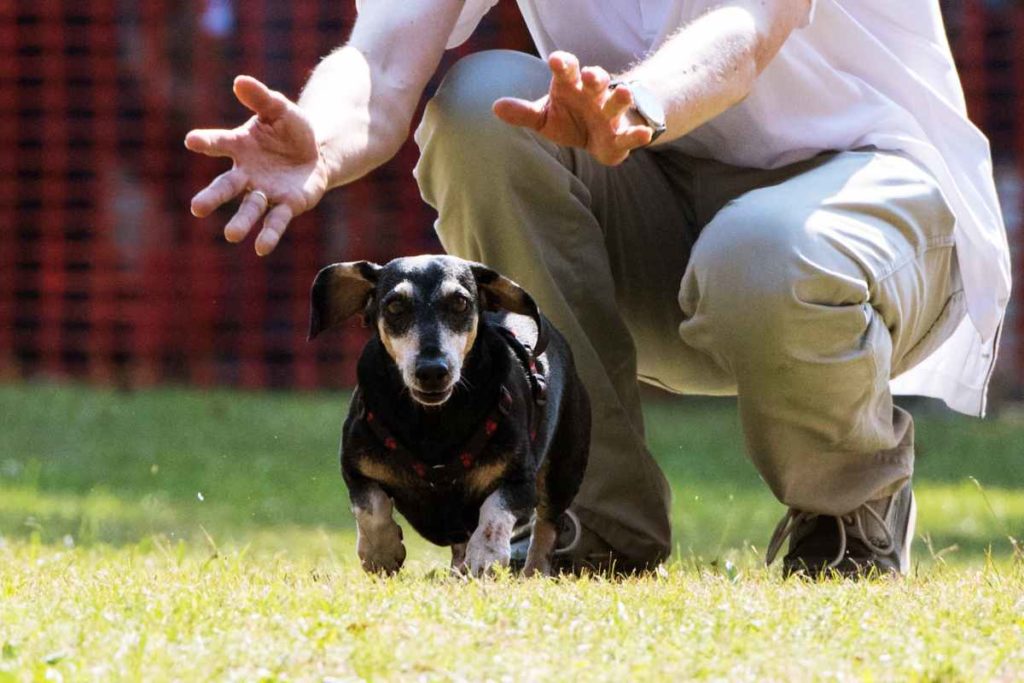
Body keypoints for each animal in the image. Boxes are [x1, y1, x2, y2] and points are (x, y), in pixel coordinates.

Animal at [307, 255, 589, 577]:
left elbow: (494, 513)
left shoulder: (519, 480)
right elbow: (372, 509)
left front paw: (486, 555)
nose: (432, 370)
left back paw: (533, 572)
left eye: (460, 303)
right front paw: (381, 552)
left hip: (563, 471)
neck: (433, 423)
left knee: (547, 526)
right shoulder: (356, 470)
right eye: (394, 306)